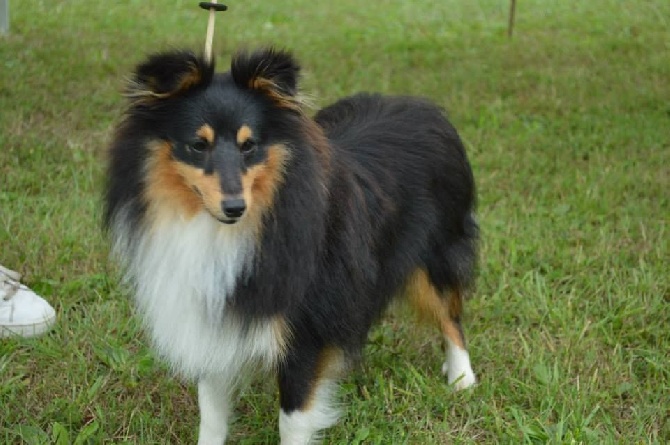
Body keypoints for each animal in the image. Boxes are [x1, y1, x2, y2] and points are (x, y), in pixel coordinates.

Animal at [105, 46, 480, 442]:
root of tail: (423, 106)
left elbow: (293, 419)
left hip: (436, 252)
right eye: (197, 145)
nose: (235, 208)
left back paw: (461, 377)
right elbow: (212, 413)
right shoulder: (213, 321)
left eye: (249, 145)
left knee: (450, 314)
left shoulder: (306, 331)